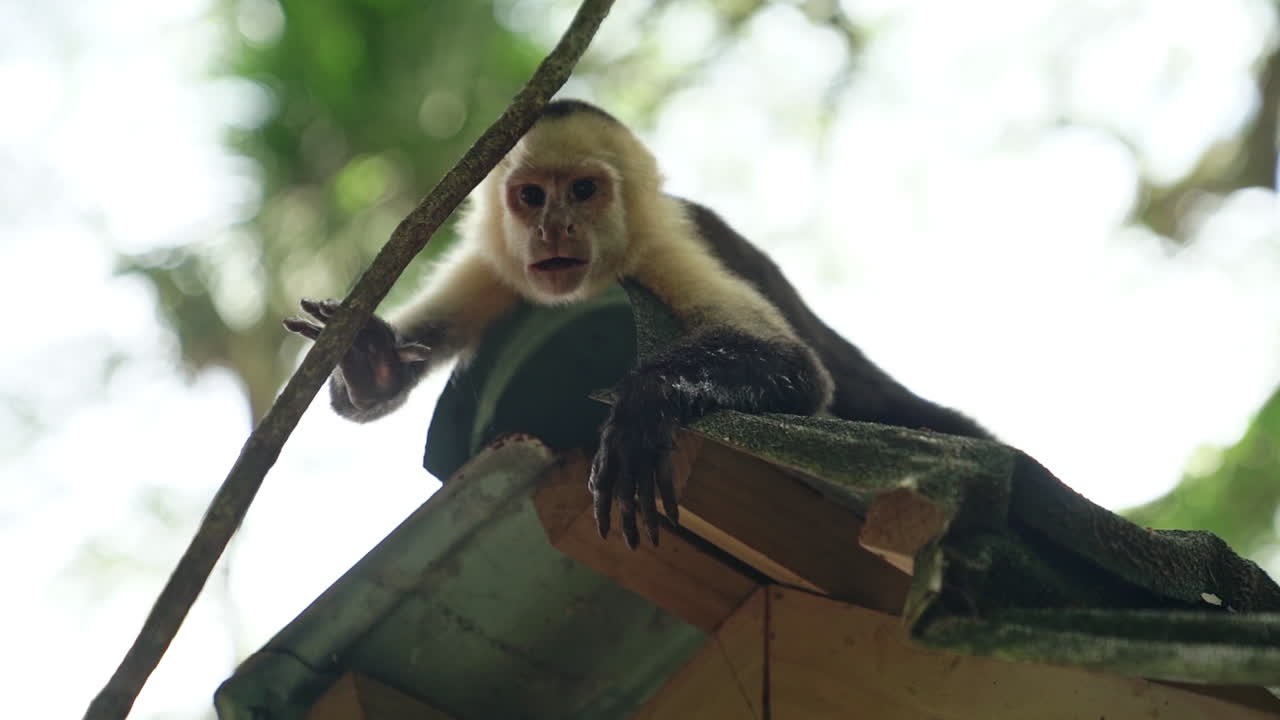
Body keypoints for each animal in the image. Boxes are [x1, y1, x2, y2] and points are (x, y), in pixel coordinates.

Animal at [284, 99, 990, 549]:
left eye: (584, 191)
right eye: (531, 196)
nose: (554, 229)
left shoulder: (663, 248)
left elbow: (797, 368)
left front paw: (644, 404)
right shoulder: (494, 268)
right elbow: (370, 388)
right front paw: (370, 362)